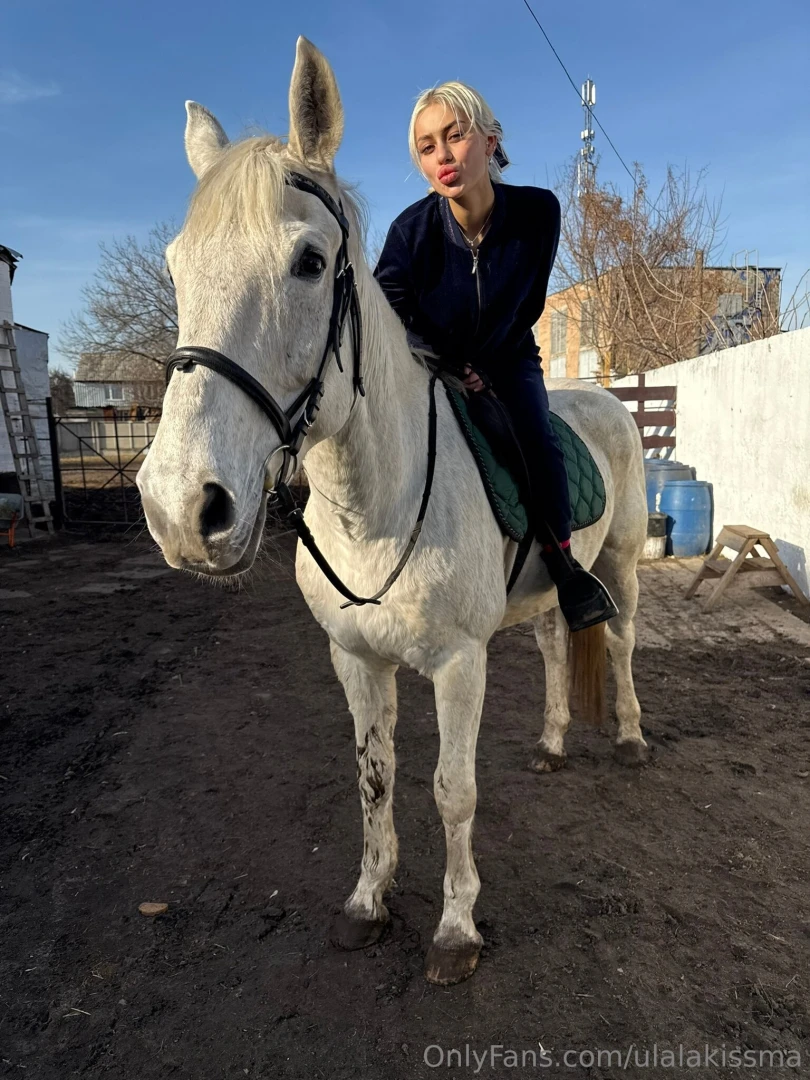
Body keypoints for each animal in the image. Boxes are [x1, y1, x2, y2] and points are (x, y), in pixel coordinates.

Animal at [137, 36, 649, 986]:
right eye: (179, 266)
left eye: (308, 262)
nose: (182, 507)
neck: (372, 511)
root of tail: (606, 396)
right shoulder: (356, 660)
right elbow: (374, 780)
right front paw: (369, 902)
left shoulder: (458, 666)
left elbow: (453, 790)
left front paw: (456, 929)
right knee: (557, 643)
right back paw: (555, 741)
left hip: (624, 564)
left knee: (624, 640)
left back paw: (631, 739)